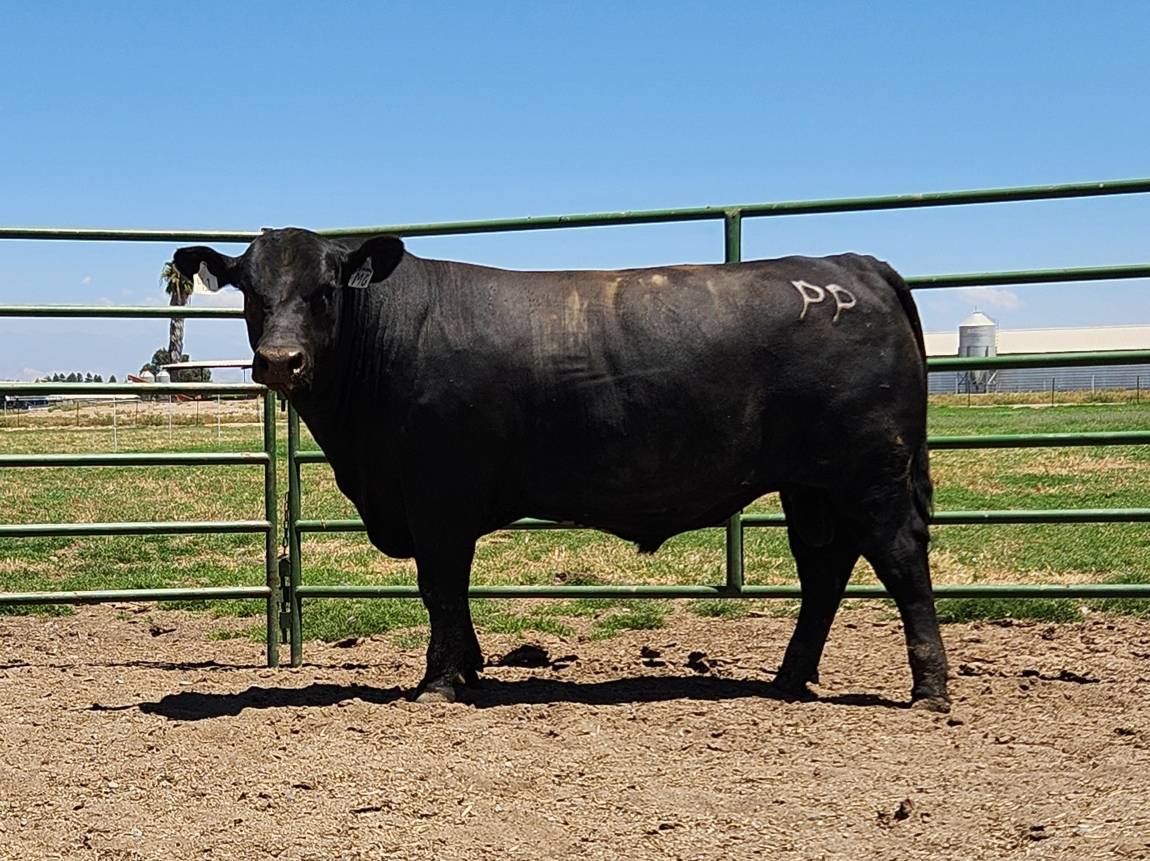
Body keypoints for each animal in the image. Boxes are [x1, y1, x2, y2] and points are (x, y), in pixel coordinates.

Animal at [174, 228, 950, 711]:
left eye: (326, 288)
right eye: (250, 290)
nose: (280, 361)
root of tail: (849, 265)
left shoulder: (437, 496)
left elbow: (440, 586)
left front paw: (441, 682)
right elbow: (449, 593)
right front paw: (472, 668)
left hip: (870, 472)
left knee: (899, 557)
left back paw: (929, 687)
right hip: (811, 483)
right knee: (824, 566)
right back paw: (789, 678)